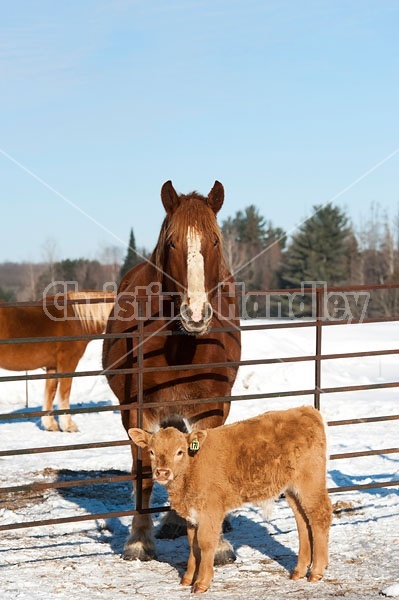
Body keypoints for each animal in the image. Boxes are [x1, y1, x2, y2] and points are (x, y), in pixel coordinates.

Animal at [0, 290, 115, 432]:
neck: (77, 319)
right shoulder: (68, 362)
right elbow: (65, 391)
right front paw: (69, 425)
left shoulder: (52, 366)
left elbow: (50, 392)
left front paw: (51, 425)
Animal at [101, 182, 242, 564]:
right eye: (172, 243)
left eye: (214, 241)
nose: (195, 314)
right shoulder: (136, 412)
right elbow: (144, 474)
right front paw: (138, 540)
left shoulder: (211, 410)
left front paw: (218, 545)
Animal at [130, 406, 332, 592]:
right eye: (151, 452)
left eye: (180, 452)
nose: (162, 472)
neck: (192, 467)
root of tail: (306, 410)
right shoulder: (192, 515)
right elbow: (193, 545)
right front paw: (188, 578)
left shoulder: (210, 511)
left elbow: (205, 543)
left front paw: (202, 582)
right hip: (292, 490)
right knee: (303, 522)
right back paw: (299, 570)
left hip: (310, 482)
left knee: (319, 516)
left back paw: (316, 571)